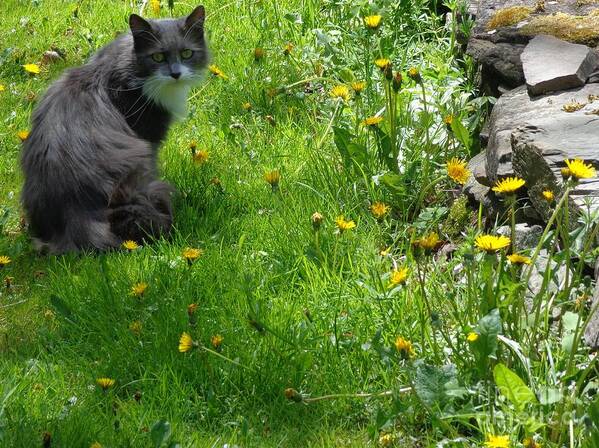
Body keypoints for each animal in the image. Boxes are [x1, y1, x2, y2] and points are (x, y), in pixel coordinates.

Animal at [20, 5, 209, 254]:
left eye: (187, 53)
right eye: (157, 57)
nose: (175, 74)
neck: (126, 67)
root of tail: (74, 213)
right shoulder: (149, 138)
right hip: (139, 189)